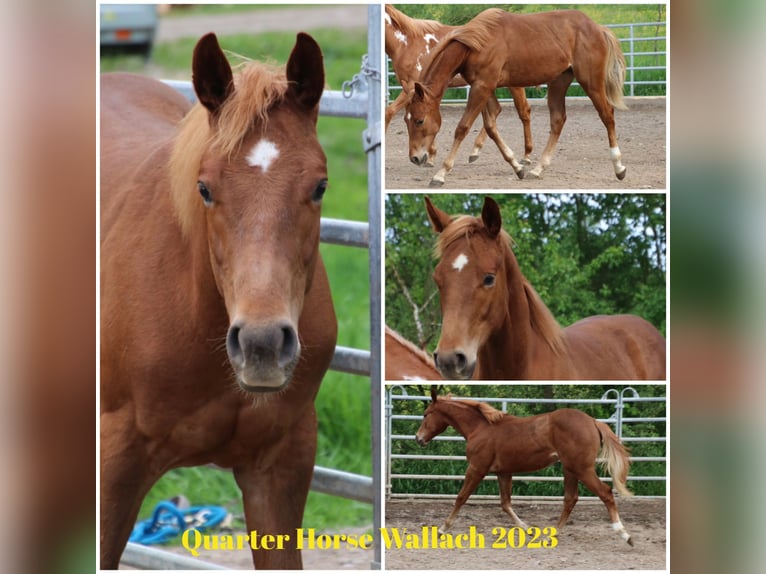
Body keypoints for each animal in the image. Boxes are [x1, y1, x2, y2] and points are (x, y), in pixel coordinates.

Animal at [384, 4, 536, 165]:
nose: (415, 158)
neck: (407, 43)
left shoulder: (414, 86)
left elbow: (389, 112)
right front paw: (431, 154)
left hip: (513, 85)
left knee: (524, 111)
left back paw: (526, 155)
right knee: (496, 111)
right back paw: (476, 150)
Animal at [408, 7, 632, 187]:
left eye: (419, 120)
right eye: (406, 120)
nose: (415, 158)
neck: (479, 42)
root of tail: (598, 28)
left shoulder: (482, 87)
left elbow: (462, 128)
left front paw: (441, 173)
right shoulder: (483, 87)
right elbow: (491, 126)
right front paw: (517, 166)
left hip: (591, 82)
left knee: (607, 115)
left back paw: (619, 167)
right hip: (559, 82)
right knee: (558, 120)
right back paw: (538, 169)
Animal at [420, 390, 636, 548]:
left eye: (426, 414)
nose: (418, 438)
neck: (480, 428)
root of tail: (593, 421)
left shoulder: (477, 468)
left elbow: (461, 497)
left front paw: (442, 529)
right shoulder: (503, 472)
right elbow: (505, 504)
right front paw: (529, 529)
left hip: (582, 469)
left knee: (605, 493)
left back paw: (625, 535)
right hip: (570, 469)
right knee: (570, 499)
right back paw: (550, 536)